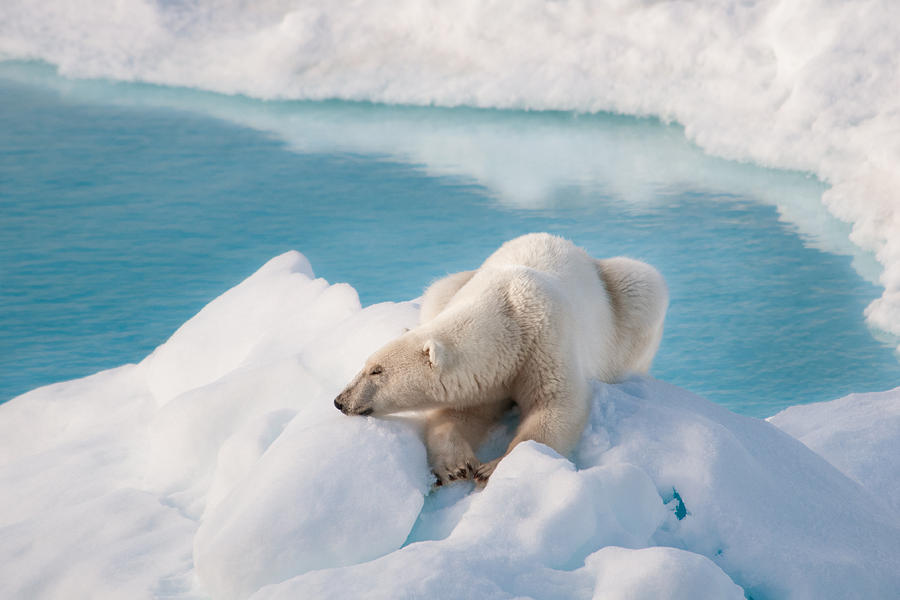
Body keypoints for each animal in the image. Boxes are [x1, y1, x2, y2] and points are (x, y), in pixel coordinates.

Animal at [334, 232, 664, 486]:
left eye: (376, 371)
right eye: (366, 364)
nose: (340, 400)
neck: (510, 315)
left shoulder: (546, 343)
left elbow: (556, 406)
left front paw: (491, 468)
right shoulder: (485, 377)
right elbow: (460, 415)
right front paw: (456, 466)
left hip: (624, 297)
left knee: (643, 288)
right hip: (450, 285)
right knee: (438, 288)